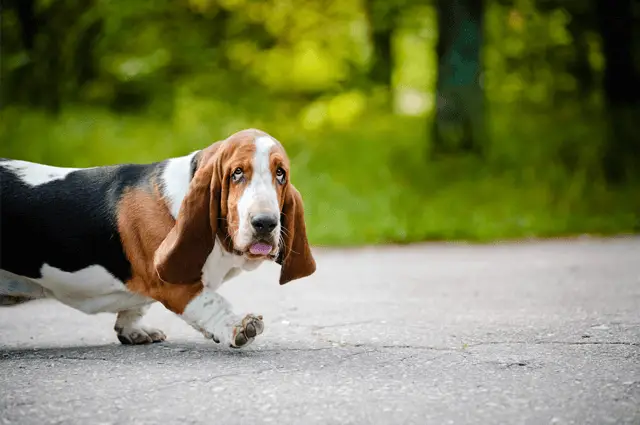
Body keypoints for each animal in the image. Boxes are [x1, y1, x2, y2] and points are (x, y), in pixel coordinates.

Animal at [0, 127, 316, 346]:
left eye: (280, 174)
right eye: (237, 173)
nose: (265, 223)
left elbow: (136, 307)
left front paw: (133, 330)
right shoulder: (175, 284)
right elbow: (211, 302)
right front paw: (237, 326)